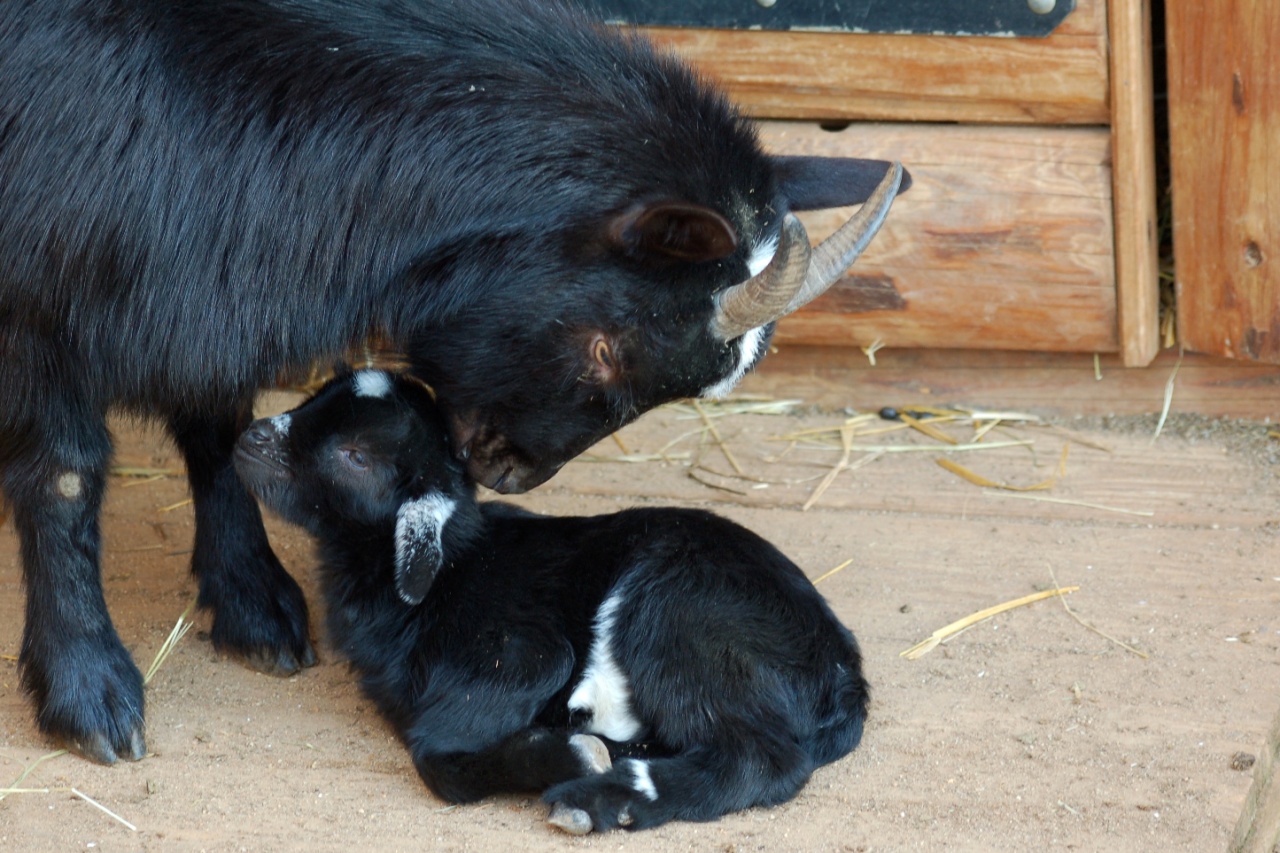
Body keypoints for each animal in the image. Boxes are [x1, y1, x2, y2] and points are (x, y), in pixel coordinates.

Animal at [1, 0, 901, 764]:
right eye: (608, 347)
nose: (510, 471)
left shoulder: (196, 286)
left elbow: (218, 428)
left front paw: (256, 605)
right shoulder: (36, 309)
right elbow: (66, 475)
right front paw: (88, 690)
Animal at [233, 369, 869, 833]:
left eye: (355, 455)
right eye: (313, 399)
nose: (248, 438)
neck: (448, 571)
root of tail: (842, 671)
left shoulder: (522, 653)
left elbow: (437, 758)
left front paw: (566, 754)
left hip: (679, 618)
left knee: (762, 759)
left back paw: (599, 797)